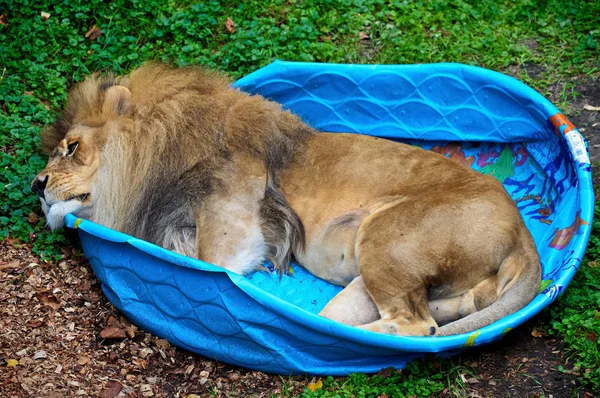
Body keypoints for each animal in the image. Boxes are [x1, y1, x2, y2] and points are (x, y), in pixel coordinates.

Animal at [30, 62, 540, 336]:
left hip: (384, 236)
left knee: (416, 328)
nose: (36, 184)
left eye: (72, 147)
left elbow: (207, 260)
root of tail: (523, 234)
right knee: (456, 307)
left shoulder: (235, 220)